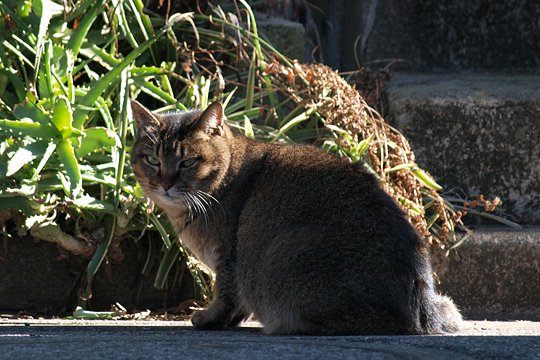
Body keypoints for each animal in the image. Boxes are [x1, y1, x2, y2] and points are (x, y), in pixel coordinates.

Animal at [130, 99, 460, 334]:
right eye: (152, 160)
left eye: (187, 162)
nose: (166, 183)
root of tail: (419, 312)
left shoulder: (230, 258)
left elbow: (225, 296)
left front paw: (210, 318)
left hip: (285, 252)